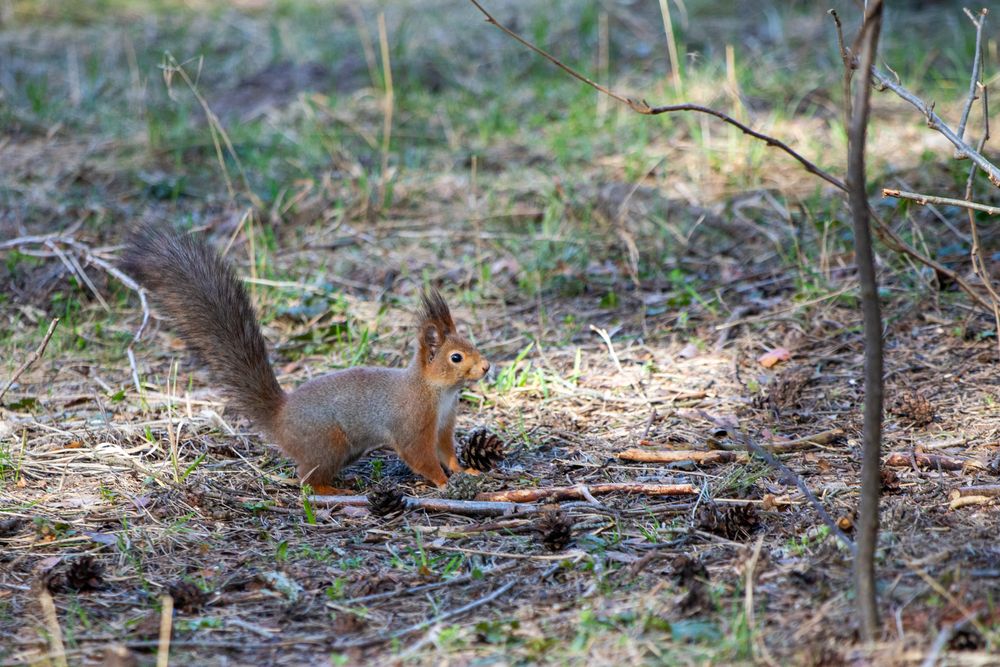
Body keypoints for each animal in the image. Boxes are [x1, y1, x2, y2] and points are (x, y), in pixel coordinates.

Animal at [121, 226, 491, 491]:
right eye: (456, 357)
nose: (486, 367)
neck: (438, 392)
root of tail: (279, 416)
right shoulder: (413, 422)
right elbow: (419, 456)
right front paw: (442, 482)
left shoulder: (443, 425)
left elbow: (446, 451)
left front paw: (464, 469)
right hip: (328, 443)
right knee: (307, 481)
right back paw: (337, 491)